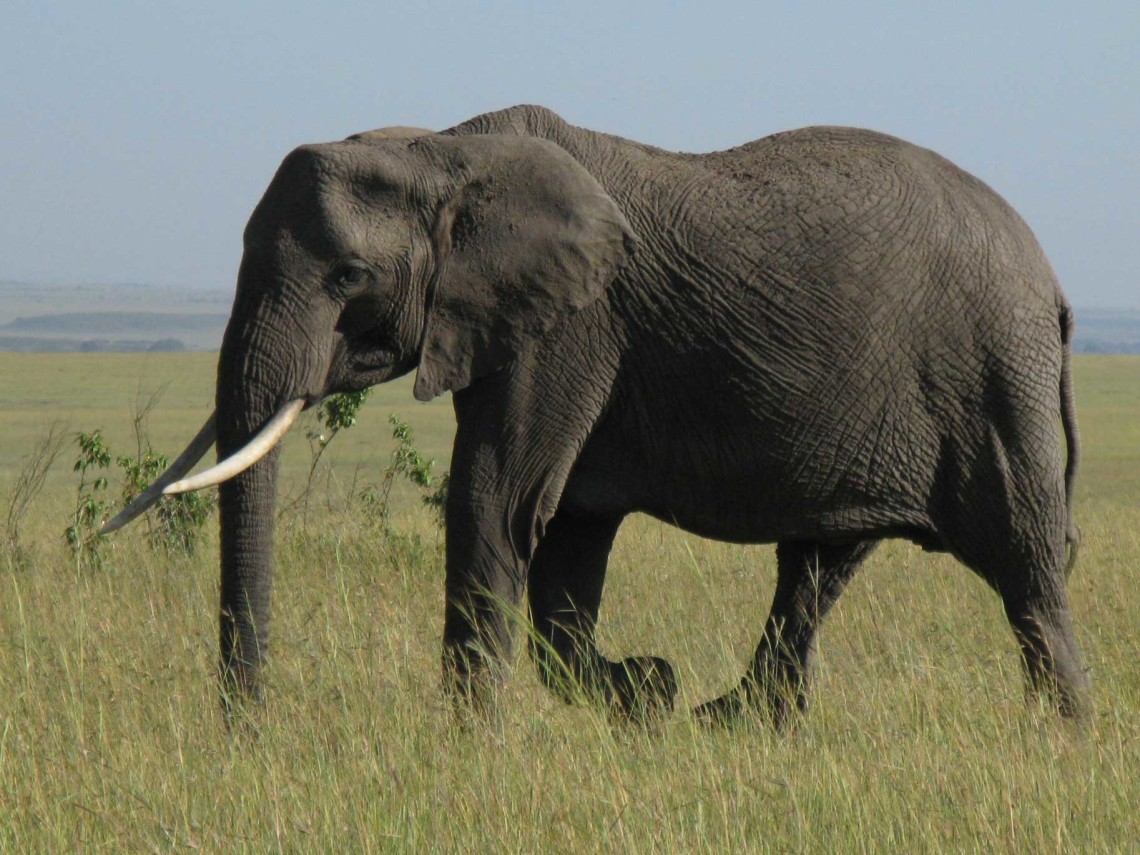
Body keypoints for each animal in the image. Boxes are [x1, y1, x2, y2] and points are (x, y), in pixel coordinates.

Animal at [111, 103, 1089, 725]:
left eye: (350, 276)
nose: (248, 734)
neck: (444, 150)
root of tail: (1052, 282)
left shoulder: (573, 325)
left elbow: (496, 500)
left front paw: (466, 752)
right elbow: (566, 543)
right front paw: (645, 694)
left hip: (996, 373)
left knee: (1026, 561)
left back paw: (1065, 737)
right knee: (817, 563)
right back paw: (733, 720)